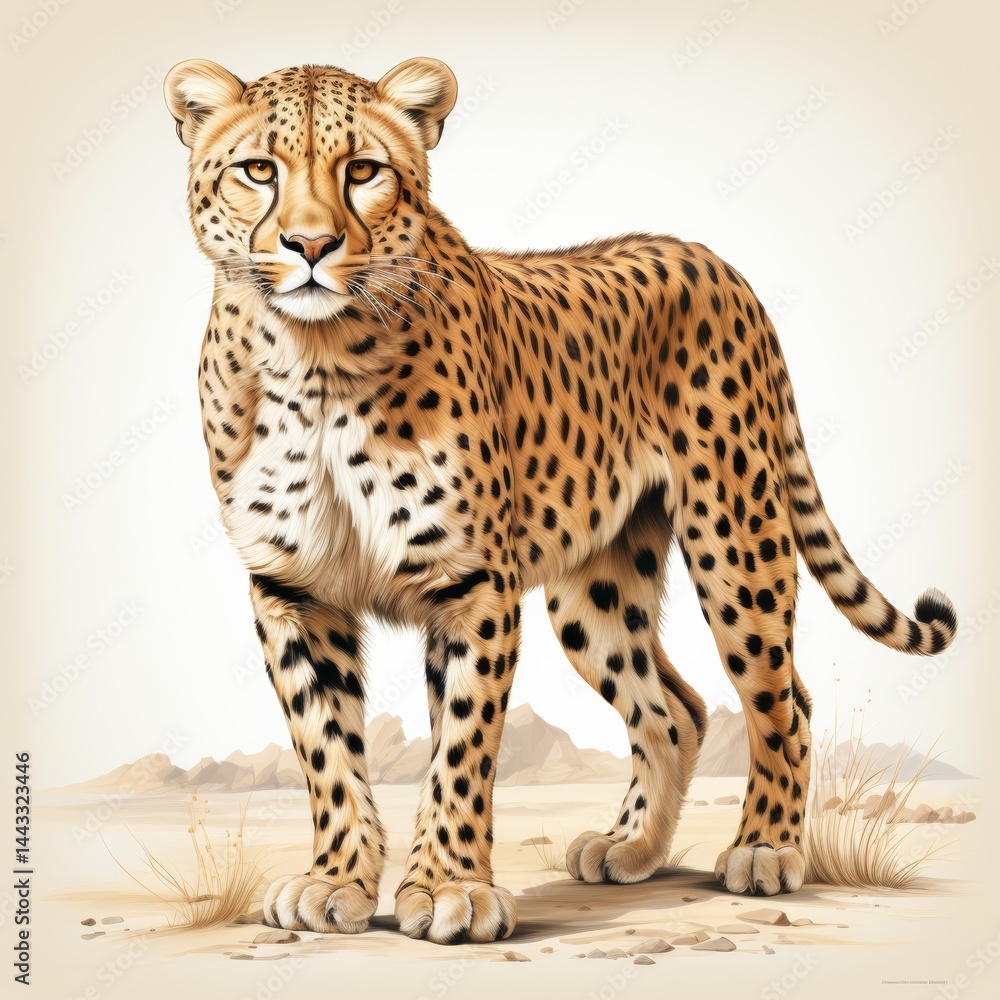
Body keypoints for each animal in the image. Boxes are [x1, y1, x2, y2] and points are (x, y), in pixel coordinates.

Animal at [164, 57, 958, 944]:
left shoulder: (472, 584)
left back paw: (765, 848)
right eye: (259, 171)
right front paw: (335, 880)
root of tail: (710, 256)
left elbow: (462, 748)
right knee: (675, 707)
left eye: (363, 171)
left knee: (785, 699)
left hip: (735, 535)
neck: (317, 356)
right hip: (595, 586)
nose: (309, 246)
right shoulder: (295, 590)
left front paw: (450, 888)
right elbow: (326, 748)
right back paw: (631, 846)